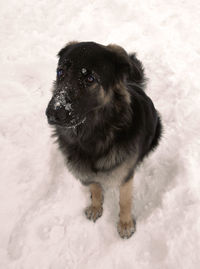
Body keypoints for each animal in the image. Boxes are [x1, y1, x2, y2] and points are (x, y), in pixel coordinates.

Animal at [45, 40, 162, 238]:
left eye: (90, 79)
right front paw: (95, 206)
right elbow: (95, 188)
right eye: (60, 72)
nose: (52, 113)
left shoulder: (125, 176)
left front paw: (125, 224)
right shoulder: (86, 171)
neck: (92, 136)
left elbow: (124, 201)